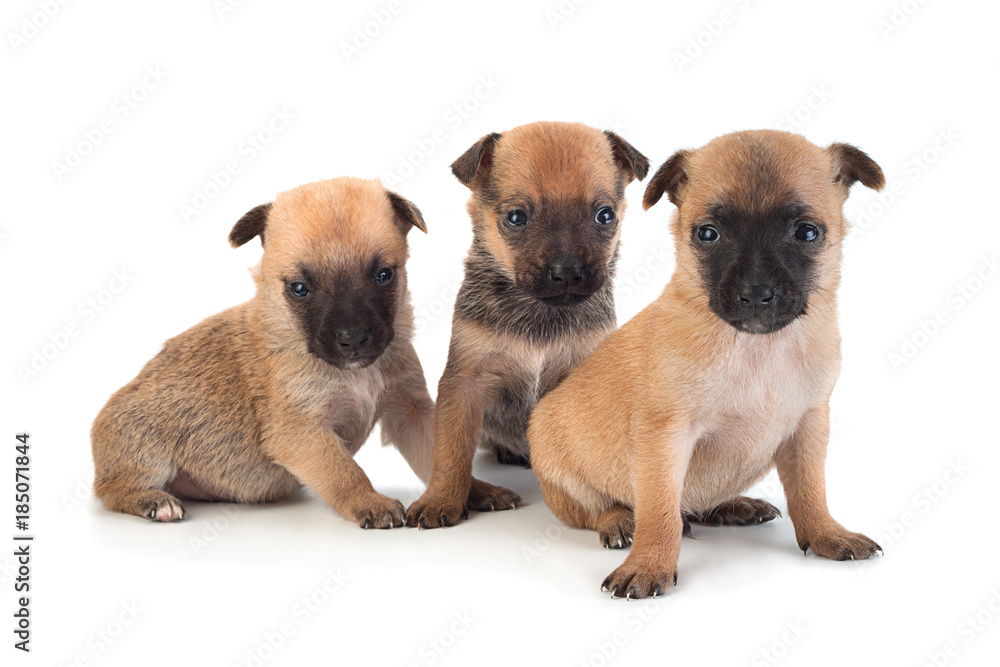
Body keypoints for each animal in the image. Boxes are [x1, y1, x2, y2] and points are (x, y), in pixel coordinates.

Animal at [92, 176, 436, 528]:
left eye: (384, 275)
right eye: (299, 288)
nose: (353, 339)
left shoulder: (410, 410)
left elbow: (438, 454)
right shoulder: (301, 430)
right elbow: (344, 472)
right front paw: (370, 501)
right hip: (146, 445)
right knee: (112, 490)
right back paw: (156, 501)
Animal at [404, 120, 648, 528]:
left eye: (605, 215)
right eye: (517, 217)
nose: (567, 272)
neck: (540, 313)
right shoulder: (465, 382)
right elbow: (451, 452)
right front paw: (441, 500)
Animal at [528, 130, 888, 600]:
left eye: (806, 233)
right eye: (708, 234)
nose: (756, 293)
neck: (757, 347)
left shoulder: (808, 429)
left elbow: (811, 492)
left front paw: (827, 533)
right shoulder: (666, 438)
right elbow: (660, 510)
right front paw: (649, 563)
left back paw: (732, 506)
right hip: (562, 477)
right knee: (598, 510)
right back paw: (621, 521)